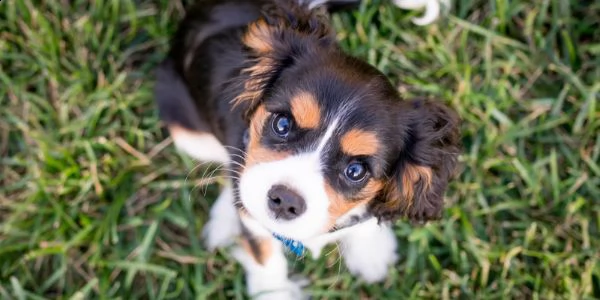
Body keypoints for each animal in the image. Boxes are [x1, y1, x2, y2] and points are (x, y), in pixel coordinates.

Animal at [155, 0, 460, 298]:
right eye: (282, 124)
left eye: (356, 170)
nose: (285, 200)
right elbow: (264, 255)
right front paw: (273, 292)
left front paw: (370, 252)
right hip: (187, 129)